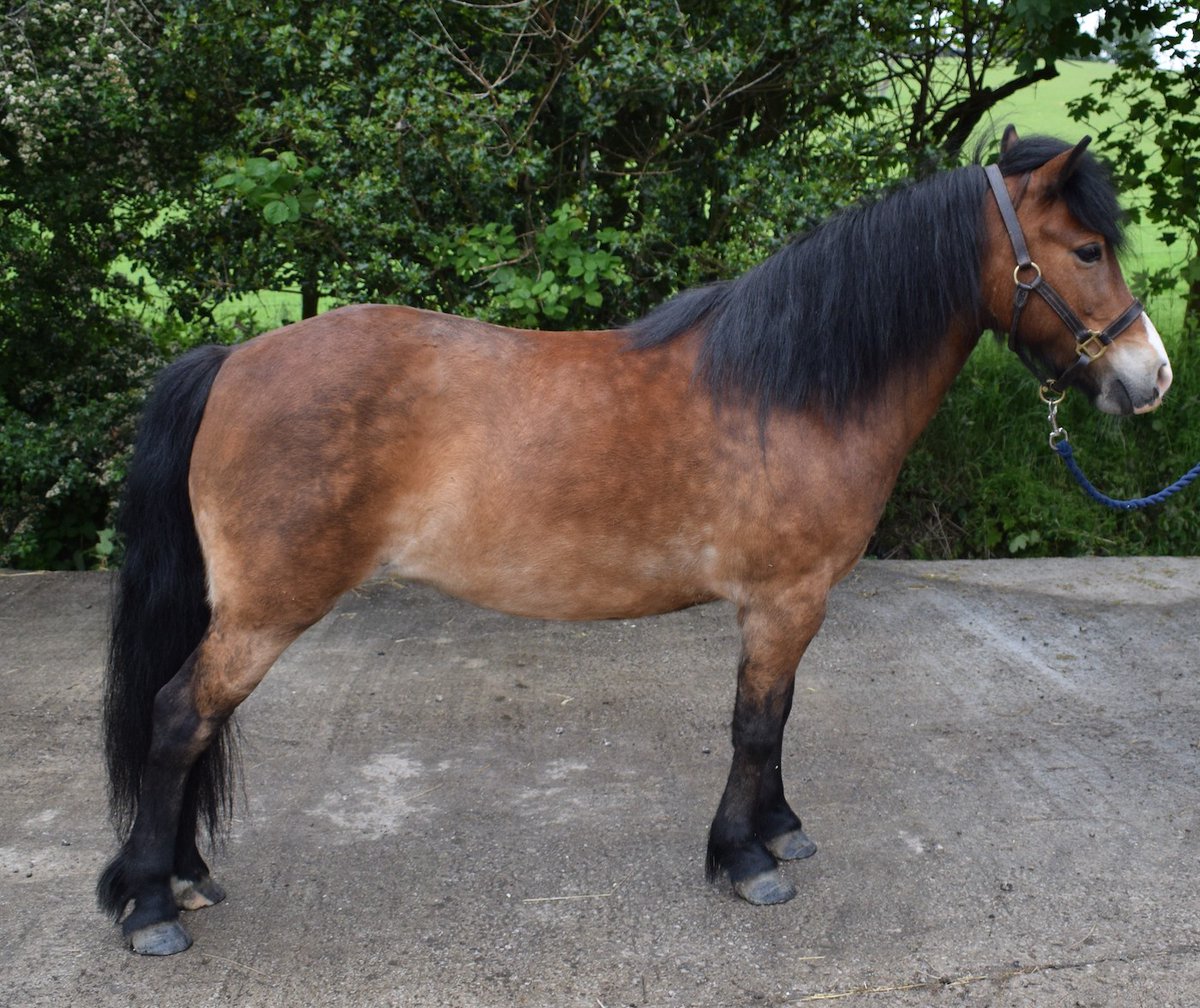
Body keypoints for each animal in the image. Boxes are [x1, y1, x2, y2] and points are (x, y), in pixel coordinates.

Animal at [97, 128, 1173, 954]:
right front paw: (744, 859)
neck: (796, 386)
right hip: (265, 612)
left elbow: (778, 719)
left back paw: (181, 876)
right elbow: (754, 726)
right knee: (179, 717)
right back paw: (151, 904)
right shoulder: (784, 599)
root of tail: (234, 358)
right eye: (1085, 250)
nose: (1151, 377)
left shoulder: (789, 605)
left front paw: (779, 830)